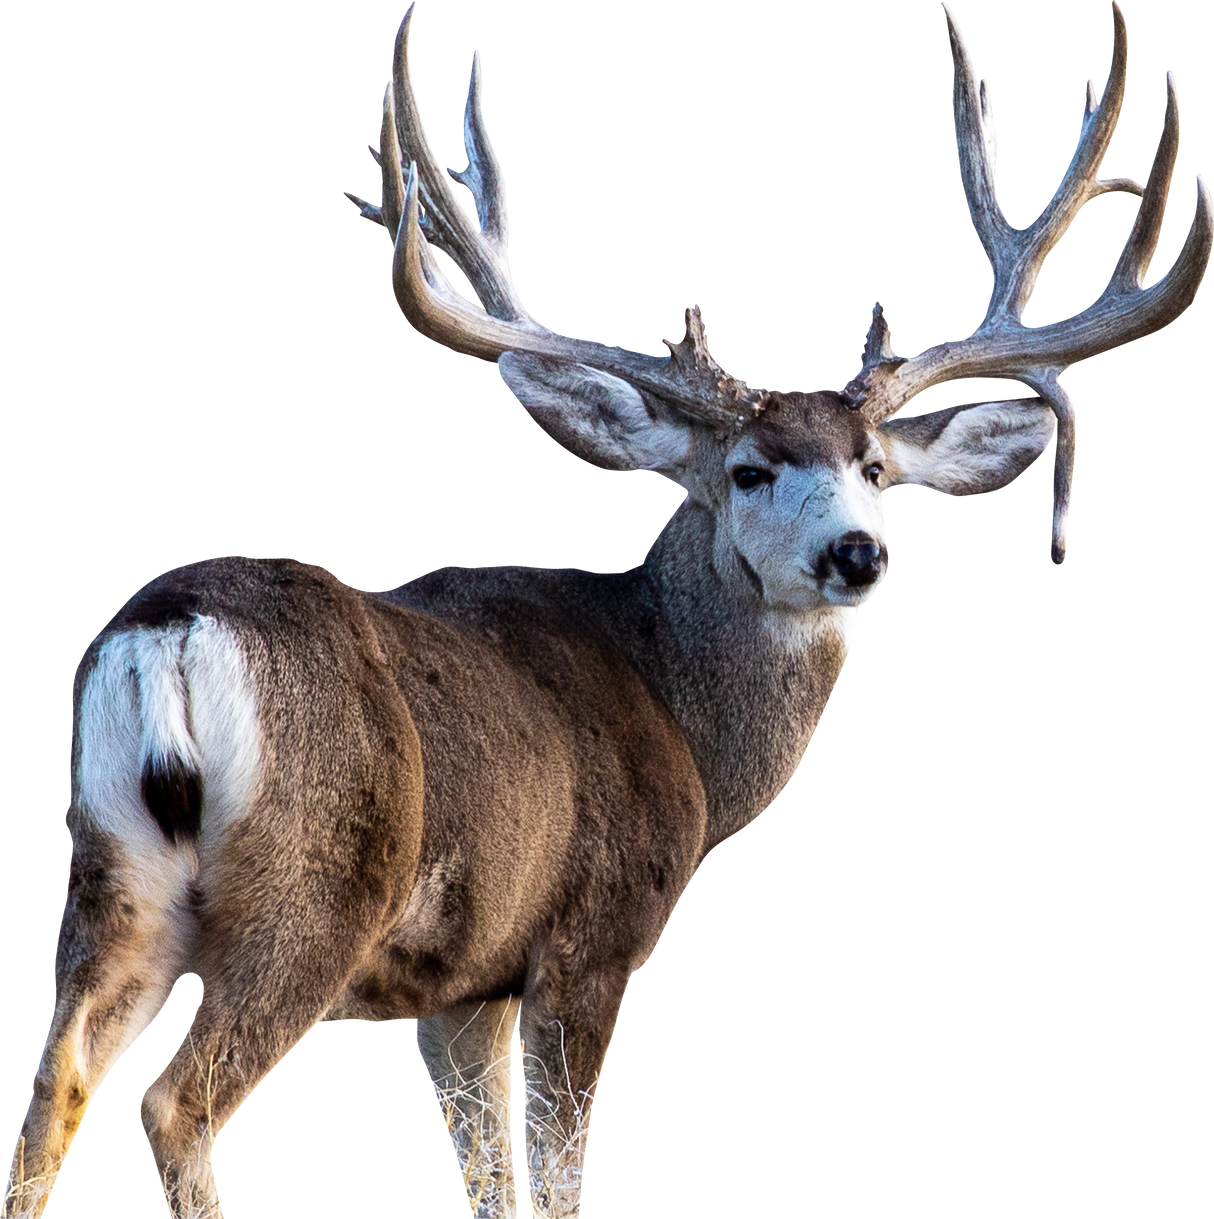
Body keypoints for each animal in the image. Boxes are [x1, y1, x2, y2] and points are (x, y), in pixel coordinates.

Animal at [5, 2, 1210, 1217]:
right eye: (749, 471)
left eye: (873, 466)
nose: (856, 551)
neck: (681, 714)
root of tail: (168, 632)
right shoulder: (588, 943)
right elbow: (556, 1181)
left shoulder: (463, 985)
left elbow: (492, 1184)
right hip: (312, 887)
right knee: (176, 1101)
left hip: (108, 876)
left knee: (53, 1088)